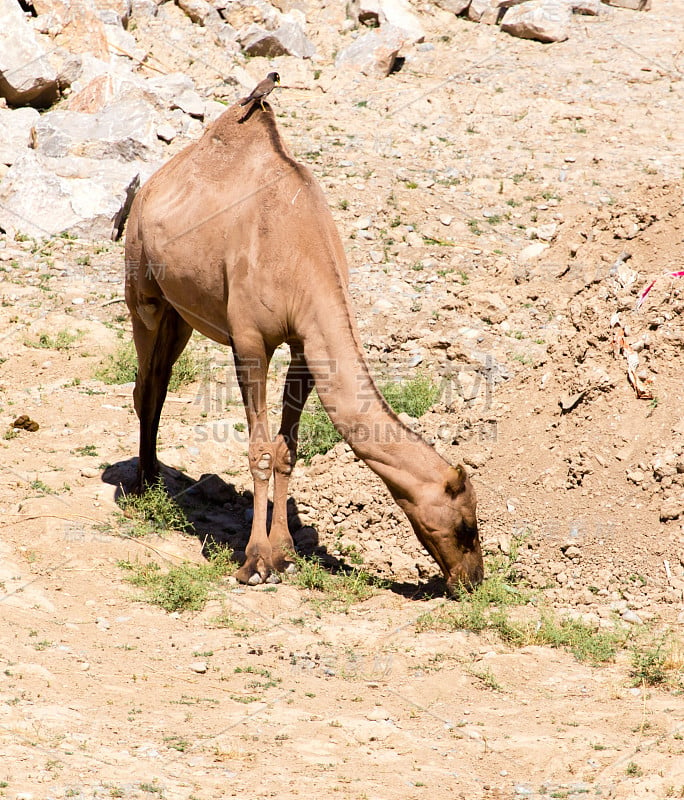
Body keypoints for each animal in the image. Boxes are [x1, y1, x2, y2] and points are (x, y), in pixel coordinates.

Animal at [124, 100, 486, 596]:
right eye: (466, 526)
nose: (472, 580)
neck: (300, 254)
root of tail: (150, 185)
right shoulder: (249, 340)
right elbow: (258, 450)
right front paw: (255, 563)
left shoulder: (305, 344)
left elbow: (285, 449)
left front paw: (286, 554)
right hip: (142, 286)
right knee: (147, 384)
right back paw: (144, 487)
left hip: (180, 313)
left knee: (157, 379)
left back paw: (155, 476)